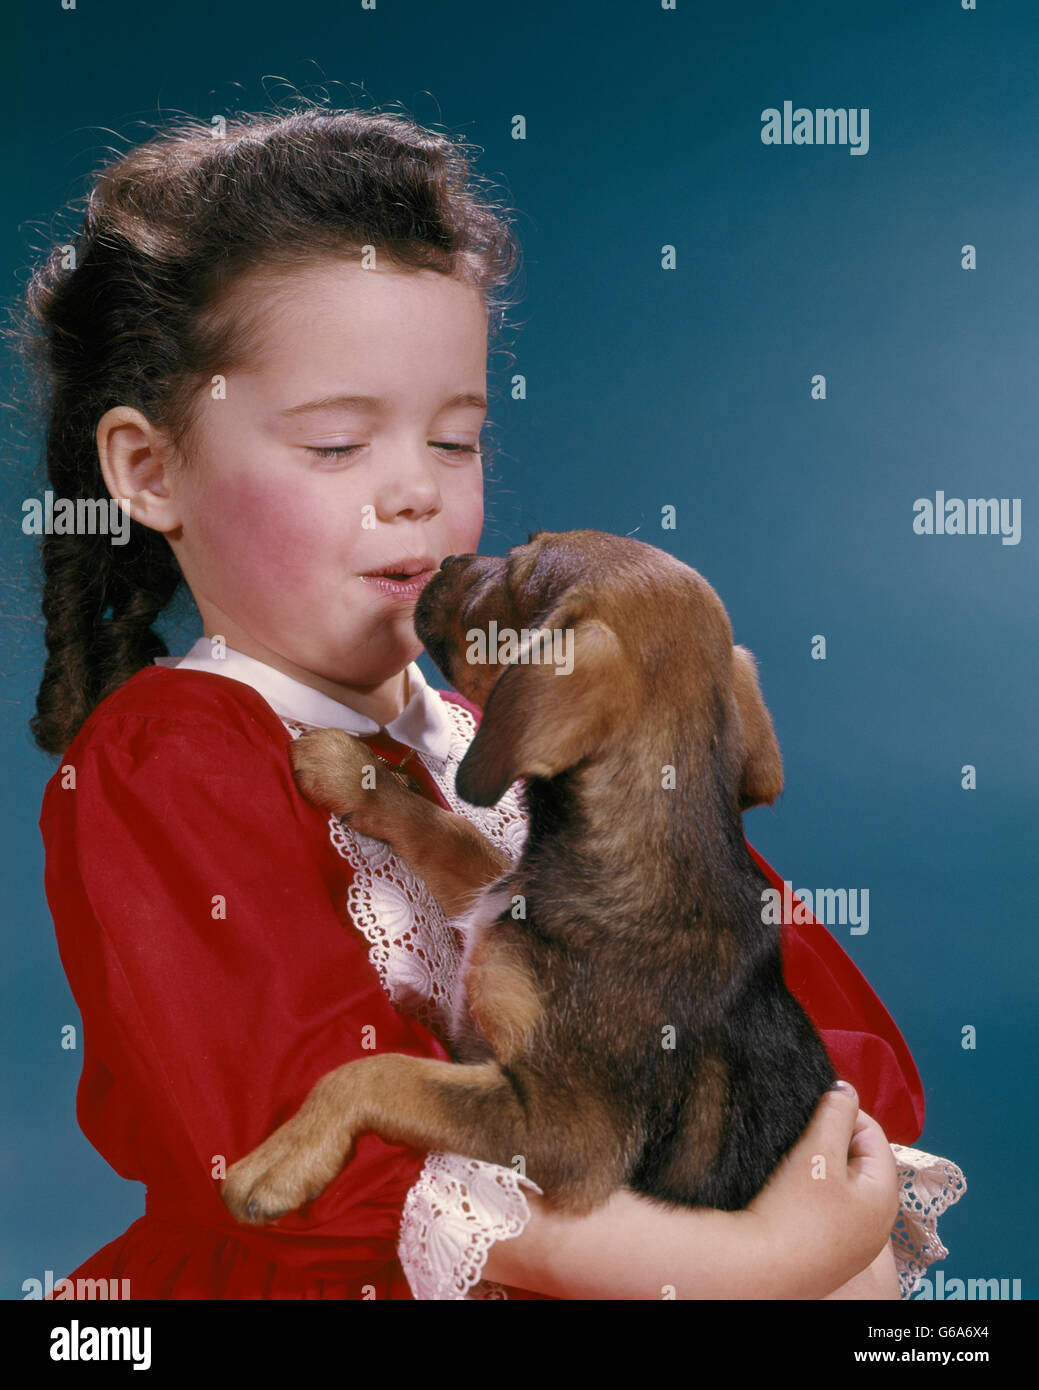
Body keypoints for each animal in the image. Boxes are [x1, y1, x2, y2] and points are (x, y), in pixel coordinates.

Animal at [221, 525, 834, 1223]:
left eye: (514, 575)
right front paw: (354, 770)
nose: (448, 559)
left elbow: (389, 1074)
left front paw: (284, 1157)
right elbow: (452, 832)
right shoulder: (494, 896)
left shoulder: (567, 1129)